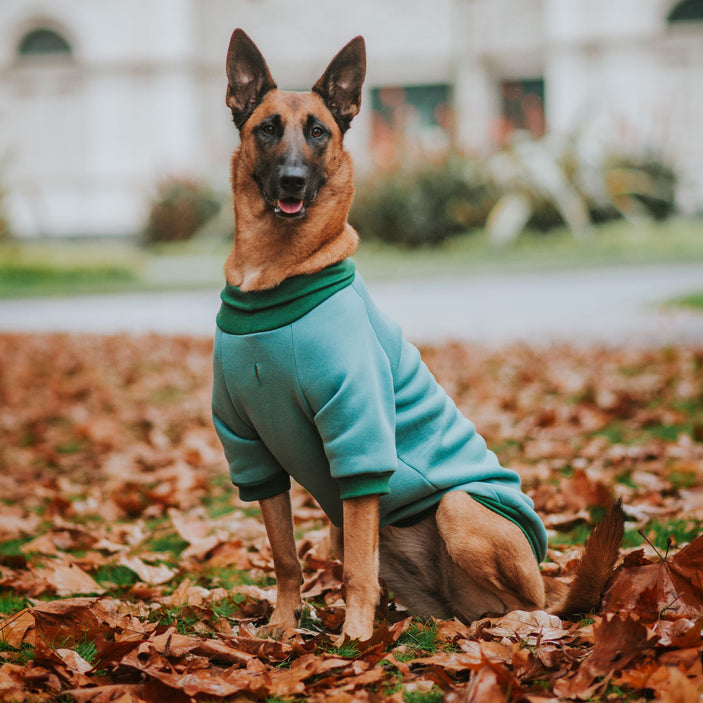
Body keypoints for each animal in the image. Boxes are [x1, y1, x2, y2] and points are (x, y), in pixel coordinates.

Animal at [210, 28, 628, 644]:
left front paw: (353, 640)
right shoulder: (252, 452)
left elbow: (358, 572)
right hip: (362, 534)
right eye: (267, 129)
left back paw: (508, 623)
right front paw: (283, 629)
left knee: (534, 605)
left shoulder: (359, 441)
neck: (275, 280)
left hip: (457, 508)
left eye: (318, 131)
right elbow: (286, 558)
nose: (292, 181)